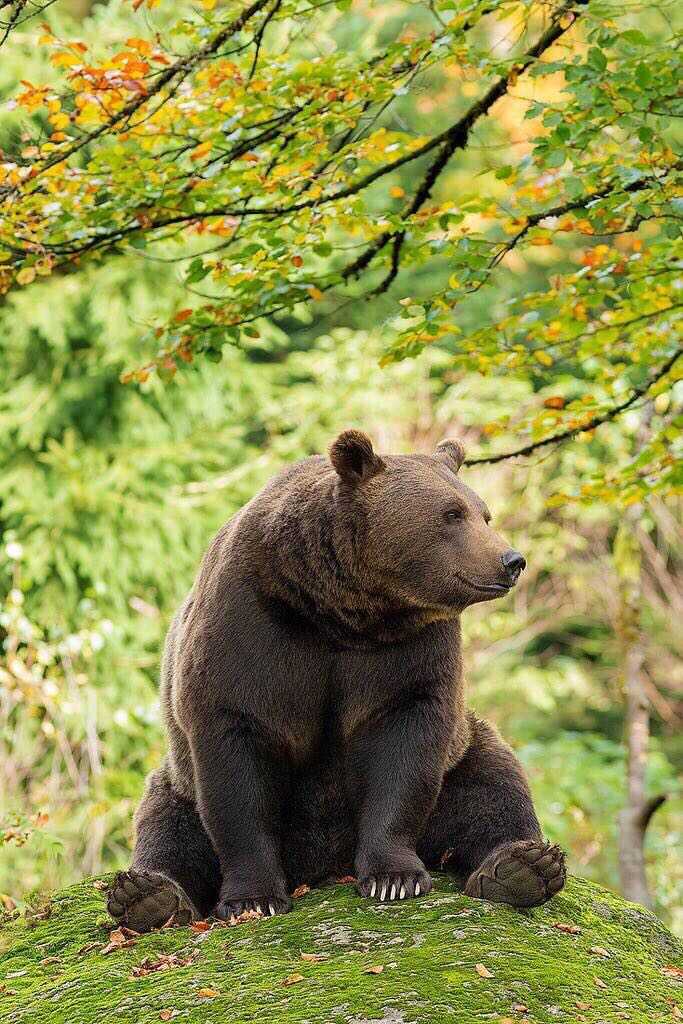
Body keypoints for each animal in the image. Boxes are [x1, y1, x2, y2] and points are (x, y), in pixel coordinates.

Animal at [107, 428, 565, 933]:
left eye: (484, 513)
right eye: (452, 514)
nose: (511, 560)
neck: (343, 608)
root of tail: (324, 867)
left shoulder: (407, 652)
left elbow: (406, 745)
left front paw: (394, 877)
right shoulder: (249, 630)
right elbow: (236, 770)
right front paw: (254, 898)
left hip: (461, 758)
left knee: (494, 784)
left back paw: (522, 867)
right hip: (177, 778)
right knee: (167, 825)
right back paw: (147, 895)